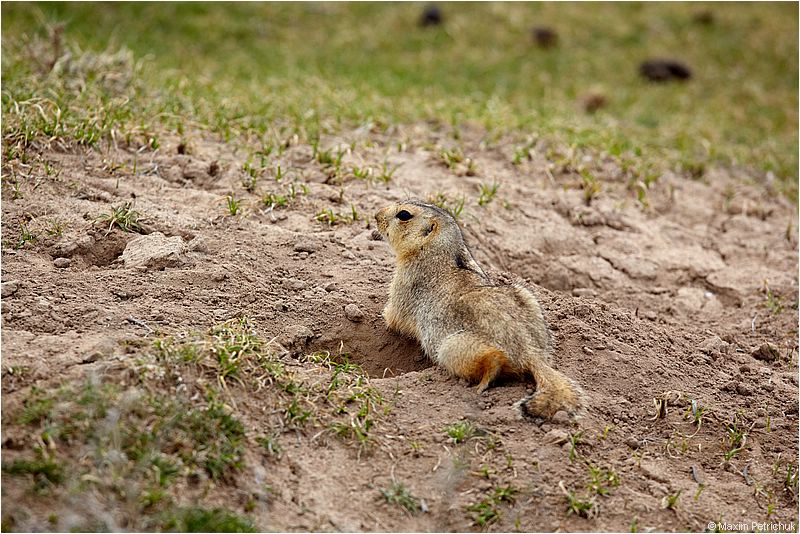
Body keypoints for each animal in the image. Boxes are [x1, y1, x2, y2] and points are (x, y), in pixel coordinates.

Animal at [372, 199, 584, 420]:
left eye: (404, 215)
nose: (376, 215)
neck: (441, 249)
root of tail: (531, 353)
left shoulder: (405, 279)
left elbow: (395, 314)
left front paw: (383, 314)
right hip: (527, 297)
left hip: (453, 347)